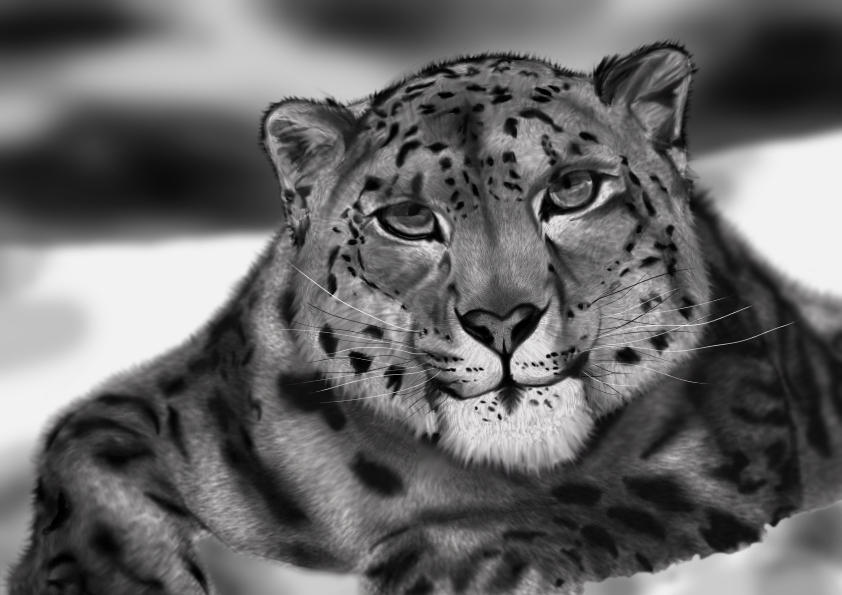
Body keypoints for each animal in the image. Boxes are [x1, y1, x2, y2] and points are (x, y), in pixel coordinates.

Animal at [8, 42, 842, 595]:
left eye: (573, 189)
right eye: (408, 218)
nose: (502, 321)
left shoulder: (733, 458)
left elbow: (611, 498)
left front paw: (446, 561)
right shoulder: (161, 406)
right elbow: (91, 464)